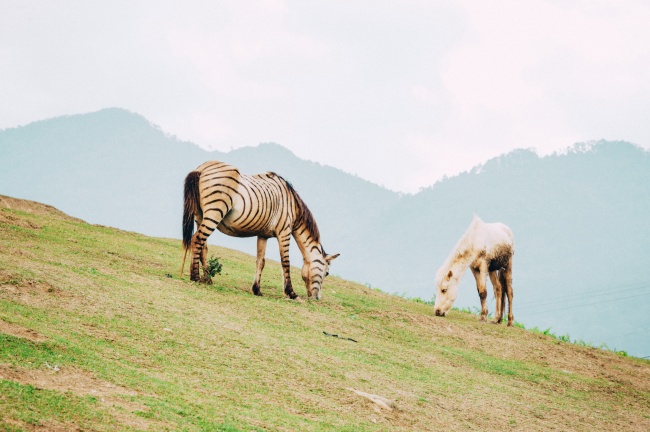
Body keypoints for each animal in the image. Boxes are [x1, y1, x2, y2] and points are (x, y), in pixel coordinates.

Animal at [180, 160, 336, 298]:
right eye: (327, 273)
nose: (317, 298)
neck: (293, 206)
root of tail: (202, 168)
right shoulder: (284, 232)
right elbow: (285, 262)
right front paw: (291, 293)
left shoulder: (263, 235)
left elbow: (261, 262)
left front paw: (256, 290)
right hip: (215, 212)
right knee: (198, 239)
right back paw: (195, 277)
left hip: (200, 215)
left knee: (203, 246)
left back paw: (207, 279)